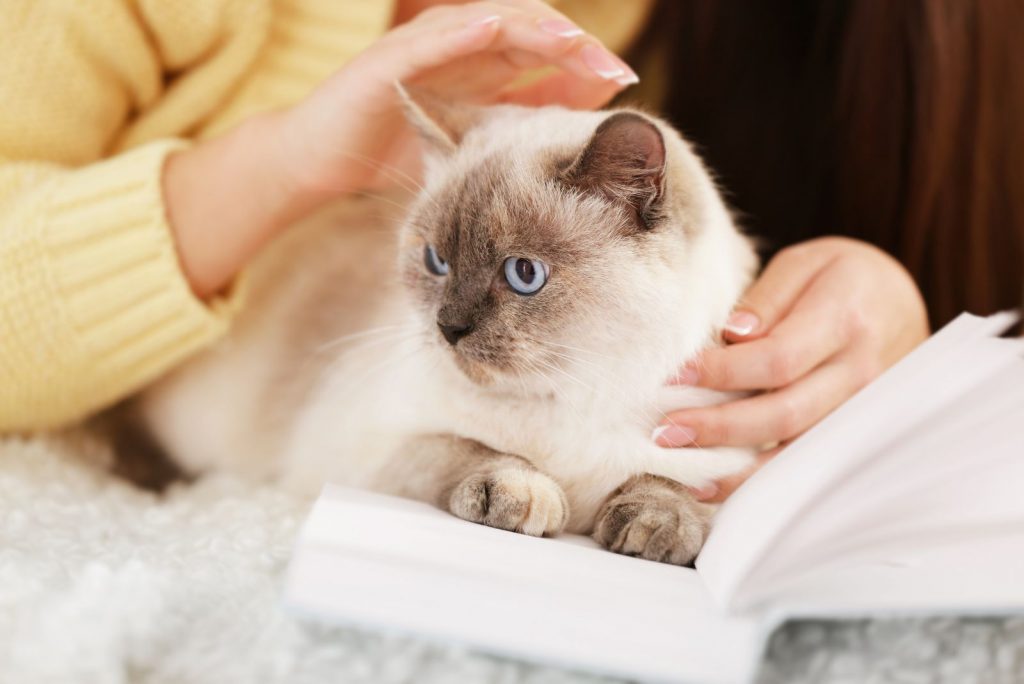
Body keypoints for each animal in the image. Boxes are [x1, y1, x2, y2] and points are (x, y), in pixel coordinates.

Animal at [136, 89, 757, 565]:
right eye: (436, 260)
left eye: (524, 274)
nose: (448, 327)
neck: (565, 395)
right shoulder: (363, 452)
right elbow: (464, 450)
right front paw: (523, 493)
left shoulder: (720, 463)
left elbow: (669, 484)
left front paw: (656, 528)